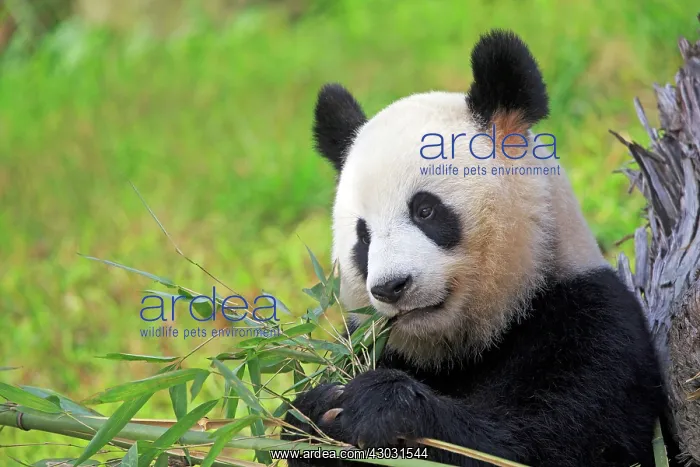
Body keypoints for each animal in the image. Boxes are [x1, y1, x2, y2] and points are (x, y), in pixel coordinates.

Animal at [283, 29, 666, 467]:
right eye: (363, 237)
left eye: (425, 210)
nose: (391, 287)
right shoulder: (364, 340)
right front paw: (314, 410)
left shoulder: (590, 324)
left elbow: (544, 444)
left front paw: (381, 406)